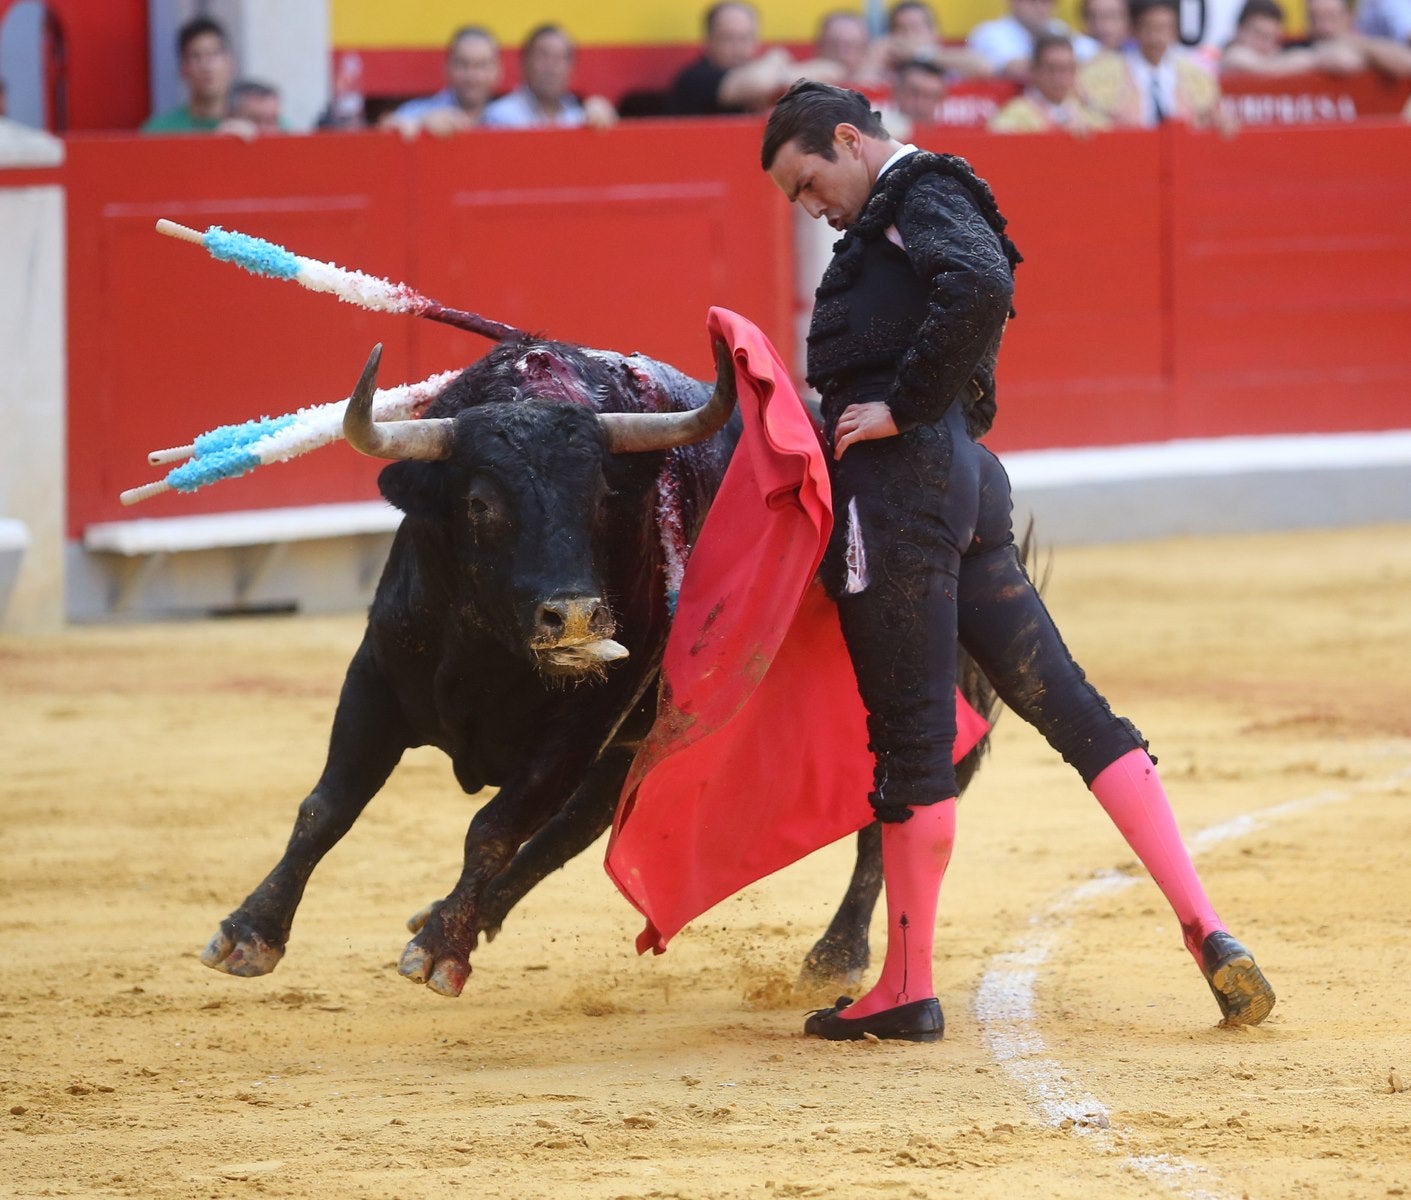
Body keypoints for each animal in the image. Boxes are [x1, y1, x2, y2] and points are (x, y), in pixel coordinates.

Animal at [198, 334, 998, 993]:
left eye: (602, 498)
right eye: (480, 503)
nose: (578, 617)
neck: (489, 648)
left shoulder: (585, 719)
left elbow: (493, 825)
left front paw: (441, 953)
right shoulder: (376, 680)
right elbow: (327, 806)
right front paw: (248, 934)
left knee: (891, 812)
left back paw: (835, 957)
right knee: (574, 827)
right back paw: (461, 914)